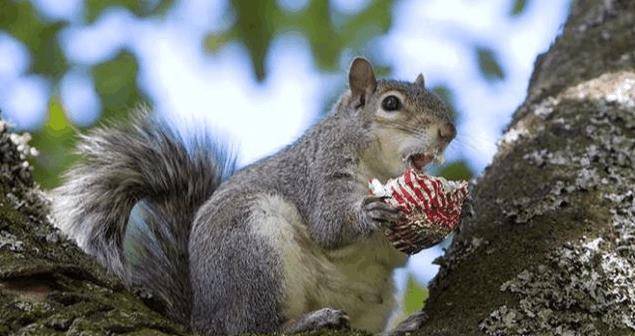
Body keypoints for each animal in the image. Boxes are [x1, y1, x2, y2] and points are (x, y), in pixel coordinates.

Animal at [51, 57, 458, 334]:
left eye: (437, 99)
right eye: (390, 104)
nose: (448, 132)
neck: (379, 168)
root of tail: (203, 320)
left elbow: (396, 252)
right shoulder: (320, 172)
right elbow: (328, 225)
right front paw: (369, 212)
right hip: (253, 250)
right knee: (254, 329)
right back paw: (306, 322)